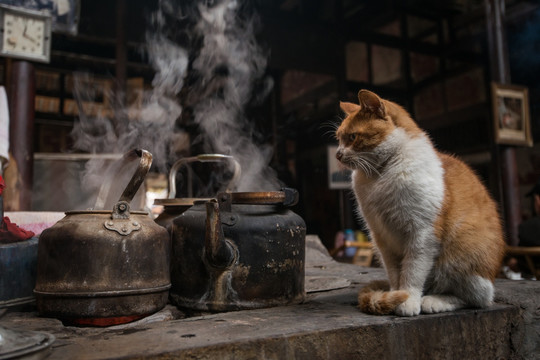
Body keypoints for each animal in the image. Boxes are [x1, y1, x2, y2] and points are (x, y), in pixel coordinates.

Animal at [338, 89, 506, 316]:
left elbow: (412, 272)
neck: (380, 176)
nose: (337, 153)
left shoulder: (422, 233)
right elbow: (395, 273)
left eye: (352, 137)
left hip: (463, 258)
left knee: (477, 299)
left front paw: (408, 299)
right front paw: (394, 295)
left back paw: (433, 301)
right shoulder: (381, 237)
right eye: (338, 139)